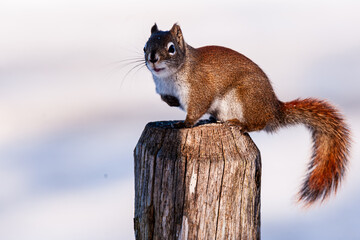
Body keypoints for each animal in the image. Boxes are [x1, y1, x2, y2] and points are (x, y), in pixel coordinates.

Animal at [144, 23, 352, 205]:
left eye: (171, 48)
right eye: (145, 45)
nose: (152, 59)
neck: (170, 77)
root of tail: (273, 110)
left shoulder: (199, 90)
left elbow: (195, 110)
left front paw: (184, 124)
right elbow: (167, 99)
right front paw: (171, 102)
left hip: (245, 99)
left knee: (258, 123)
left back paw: (240, 124)